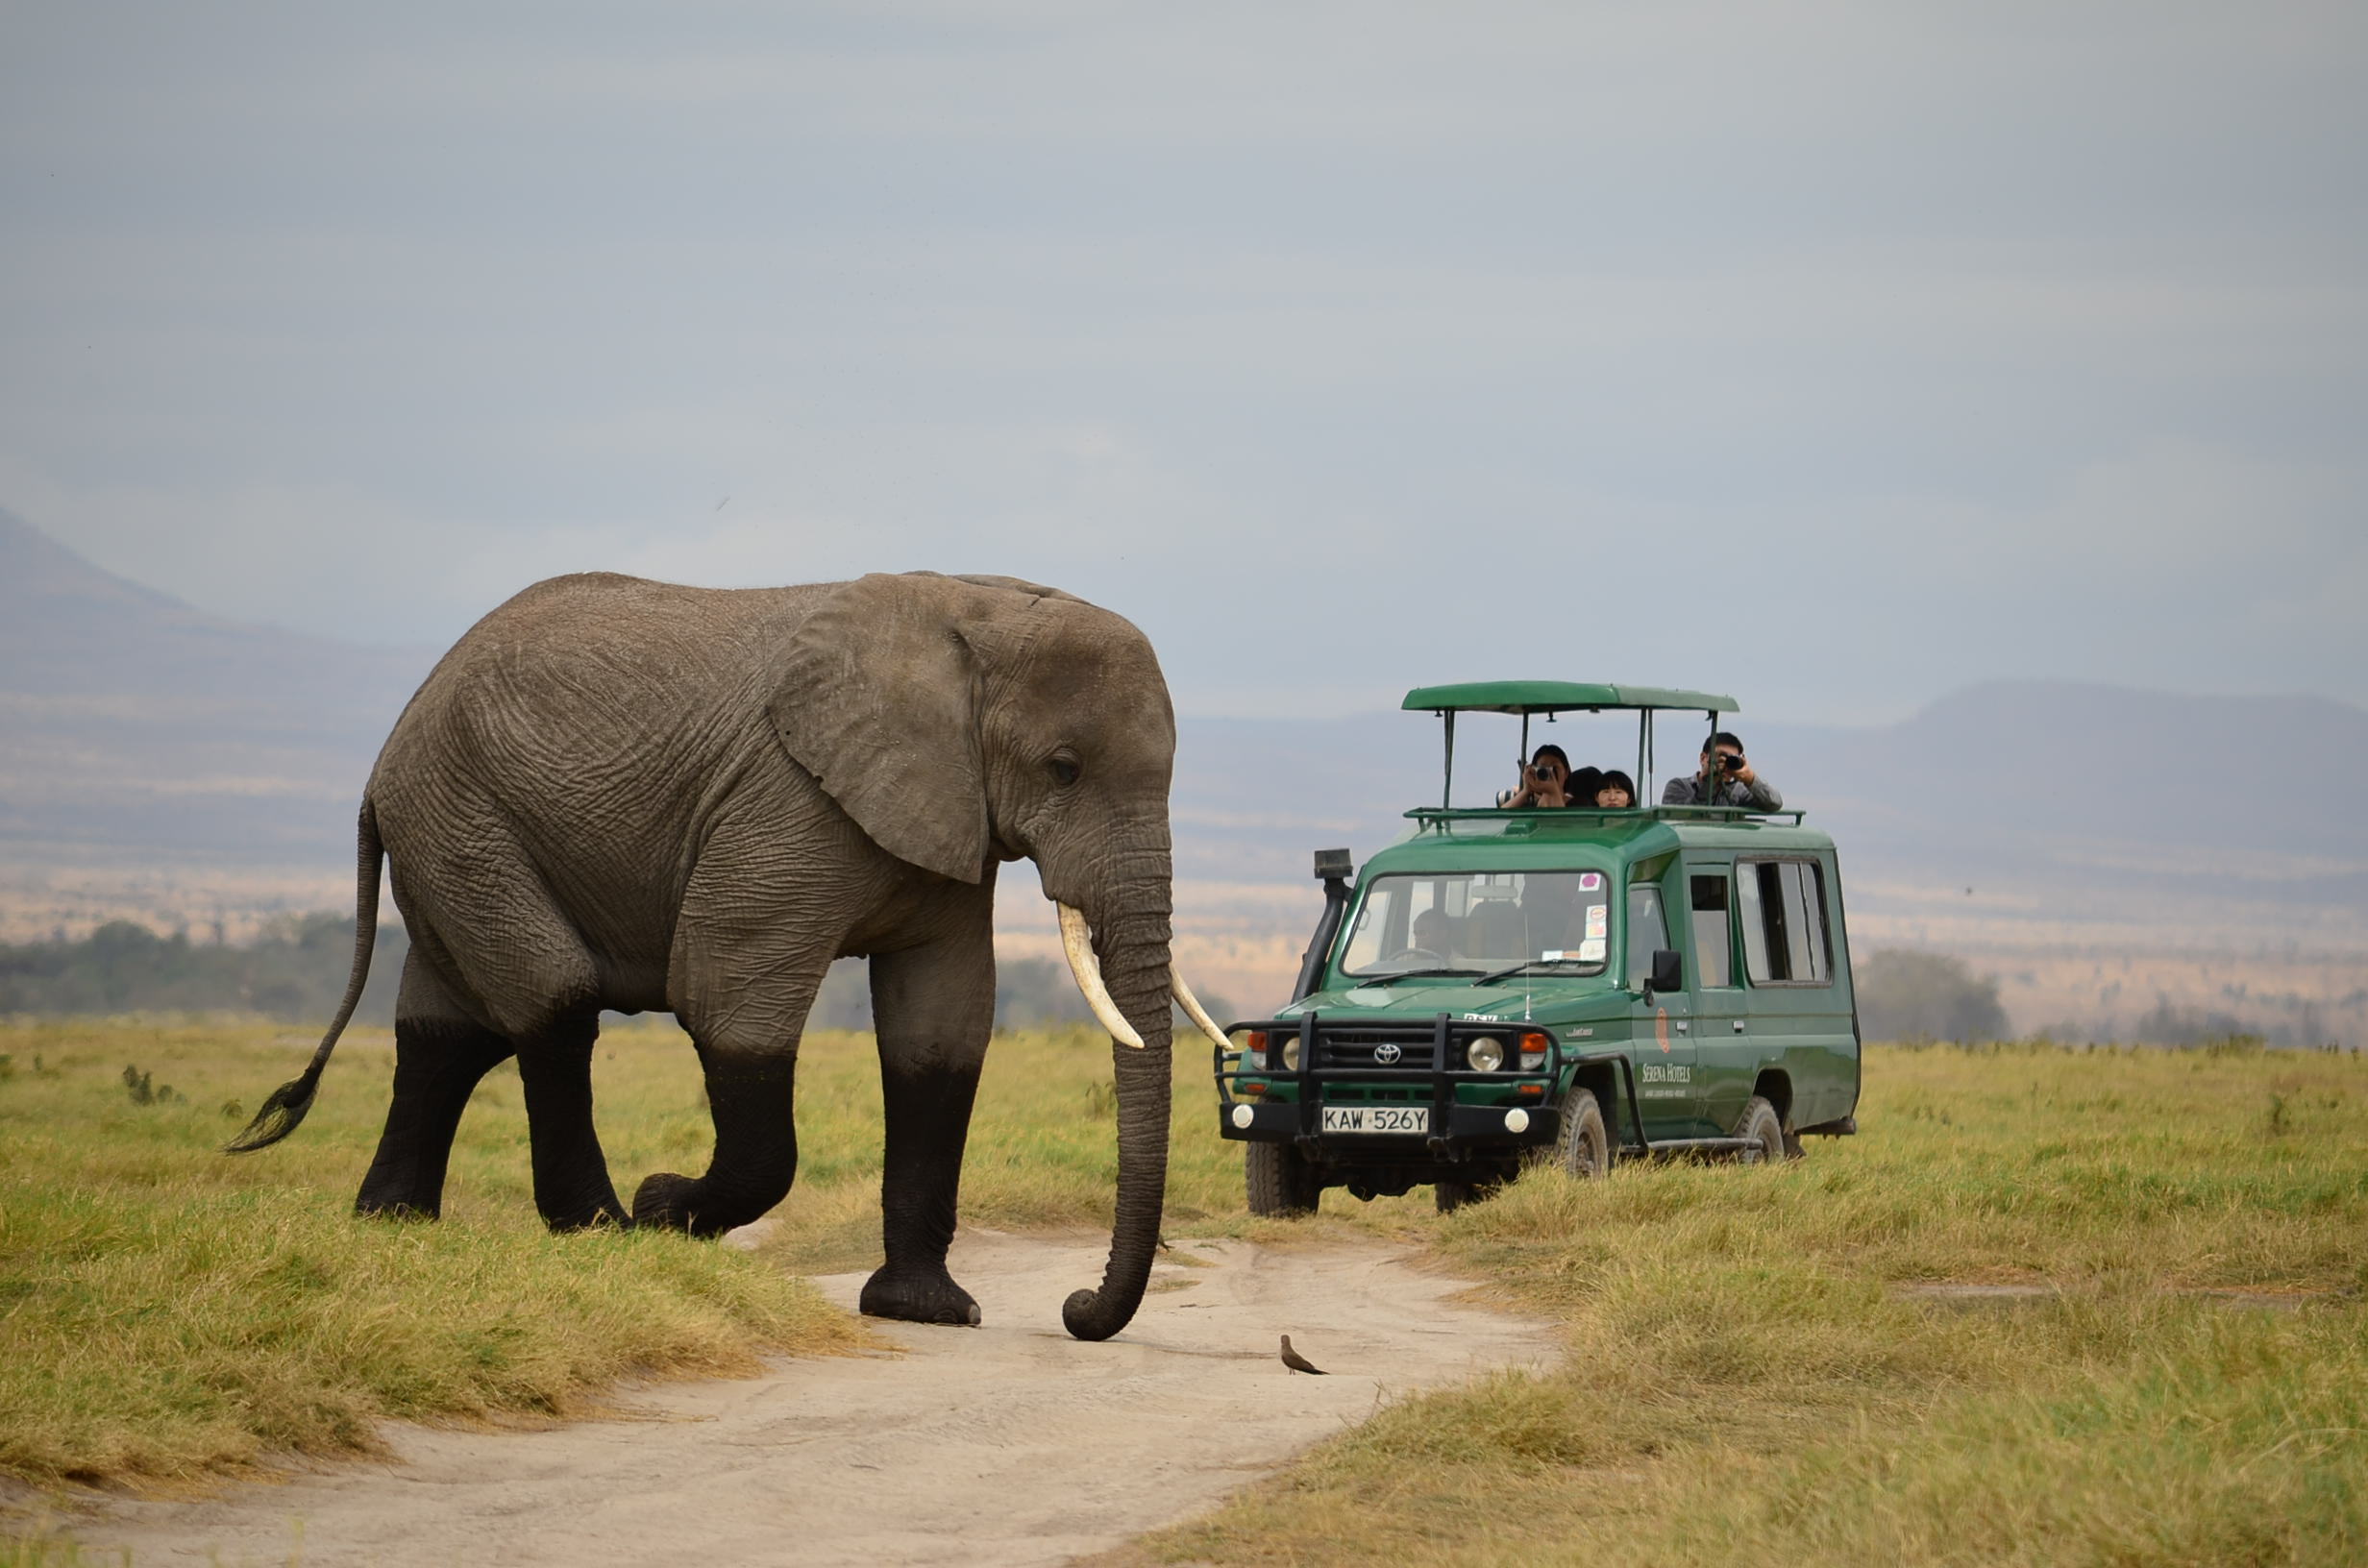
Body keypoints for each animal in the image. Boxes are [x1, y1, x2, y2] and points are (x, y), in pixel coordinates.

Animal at [227, 569, 1228, 1341]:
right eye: (1063, 768)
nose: (1074, 1306)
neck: (976, 607)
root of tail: (385, 757)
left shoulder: (947, 815)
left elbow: (941, 1030)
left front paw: (926, 1313)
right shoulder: (789, 803)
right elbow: (724, 996)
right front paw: (665, 1208)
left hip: (452, 833)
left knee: (448, 1029)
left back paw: (392, 1225)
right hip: (463, 820)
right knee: (553, 999)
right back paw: (601, 1230)